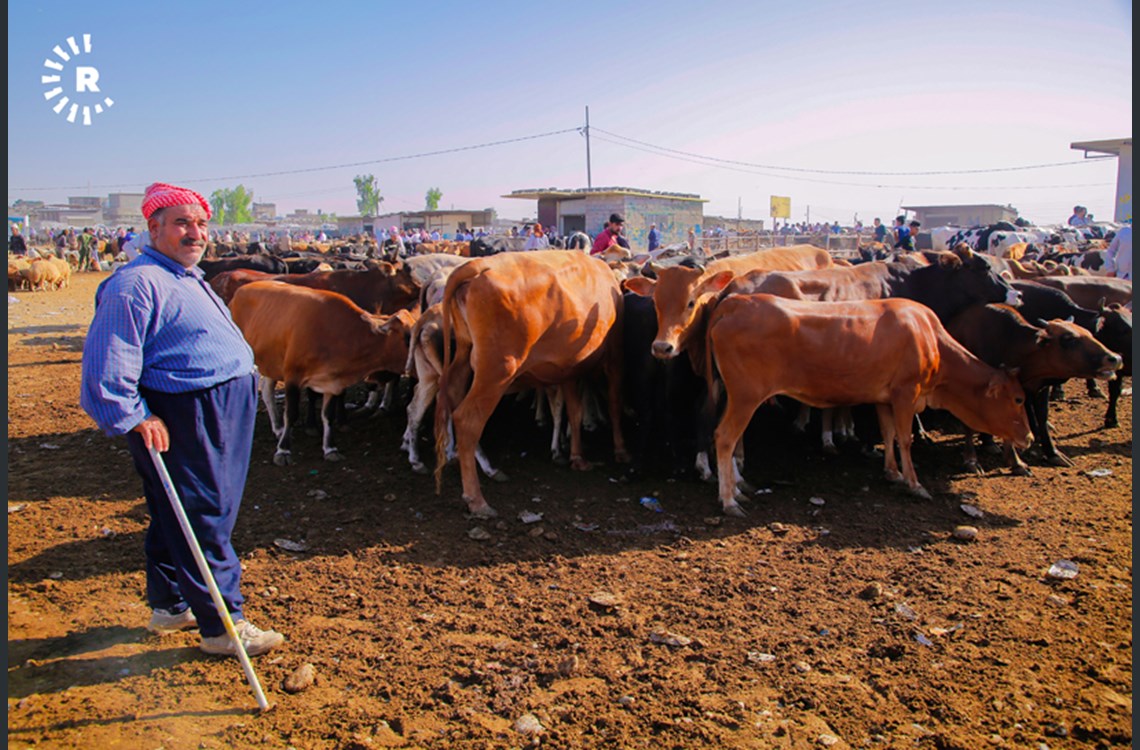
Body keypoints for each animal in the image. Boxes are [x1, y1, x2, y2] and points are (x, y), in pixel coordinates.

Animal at [229, 280, 417, 465]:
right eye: (408, 338)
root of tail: (240, 291)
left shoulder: (331, 383)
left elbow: (327, 416)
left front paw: (330, 448)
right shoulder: (292, 377)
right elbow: (291, 414)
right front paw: (283, 451)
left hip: (272, 362)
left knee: (267, 391)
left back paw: (277, 428)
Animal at [433, 250, 629, 515]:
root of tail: (478, 264)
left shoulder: (569, 368)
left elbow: (575, 411)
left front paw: (577, 457)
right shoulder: (616, 356)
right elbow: (614, 405)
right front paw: (620, 450)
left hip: (464, 354)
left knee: (452, 395)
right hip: (498, 369)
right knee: (467, 420)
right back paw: (477, 500)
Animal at [702, 291, 1035, 515]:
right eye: (1018, 398)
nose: (1029, 437)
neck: (929, 337)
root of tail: (735, 302)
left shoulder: (885, 398)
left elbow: (888, 433)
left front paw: (892, 472)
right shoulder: (906, 392)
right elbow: (905, 438)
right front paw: (915, 484)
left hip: (735, 395)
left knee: (732, 437)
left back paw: (739, 487)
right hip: (746, 395)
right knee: (725, 436)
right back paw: (728, 500)